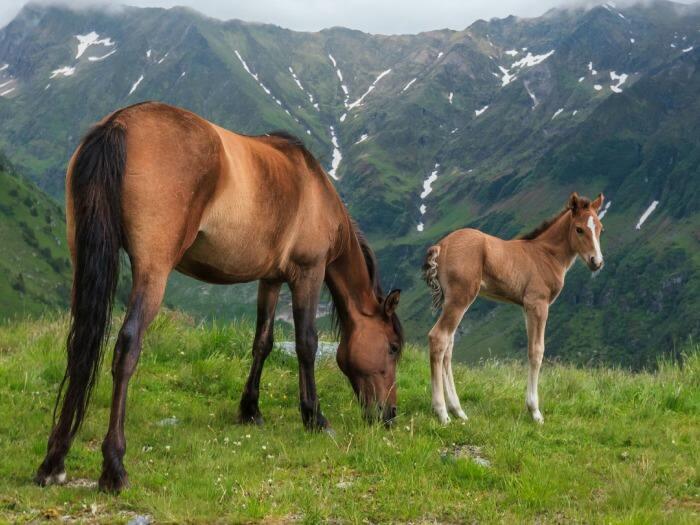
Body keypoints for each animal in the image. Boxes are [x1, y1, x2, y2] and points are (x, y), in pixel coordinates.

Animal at [34, 101, 404, 492]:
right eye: (393, 348)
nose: (389, 415)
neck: (313, 186)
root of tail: (120, 122)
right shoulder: (308, 272)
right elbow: (307, 344)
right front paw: (314, 417)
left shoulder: (270, 279)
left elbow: (263, 342)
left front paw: (250, 410)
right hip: (153, 271)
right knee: (127, 347)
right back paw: (114, 467)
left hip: (83, 257)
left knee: (80, 344)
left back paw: (54, 460)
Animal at [424, 192, 604, 426]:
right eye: (579, 229)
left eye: (600, 229)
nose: (596, 262)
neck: (546, 254)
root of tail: (441, 246)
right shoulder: (538, 304)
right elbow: (536, 351)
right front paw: (535, 411)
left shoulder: (526, 307)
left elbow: (531, 350)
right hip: (460, 298)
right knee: (438, 338)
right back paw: (442, 413)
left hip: (452, 301)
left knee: (448, 346)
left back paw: (458, 410)